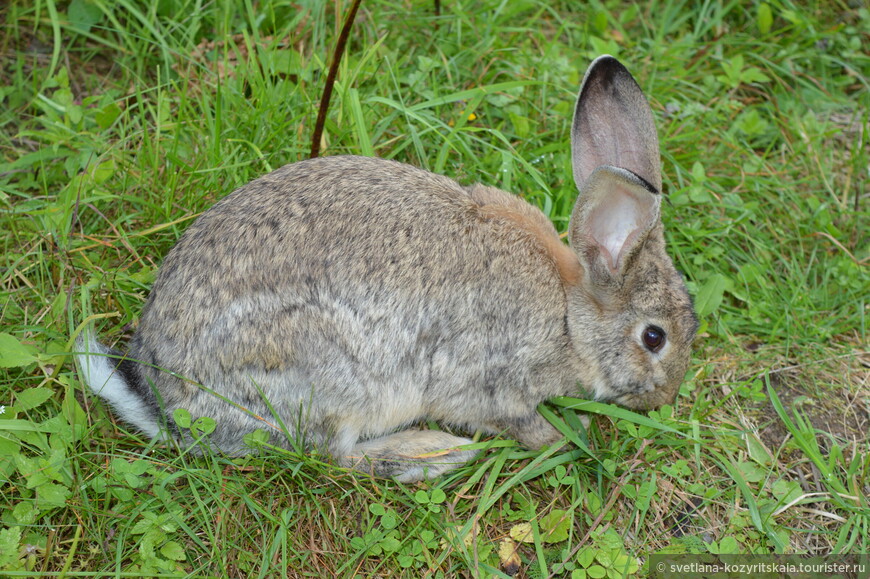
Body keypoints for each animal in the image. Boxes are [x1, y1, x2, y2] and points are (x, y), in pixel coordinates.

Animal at [75, 54, 700, 482]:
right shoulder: (493, 379)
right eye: (654, 338)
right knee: (331, 454)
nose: (664, 397)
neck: (570, 314)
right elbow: (521, 423)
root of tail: (168, 406)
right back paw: (432, 452)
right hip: (329, 377)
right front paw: (569, 439)